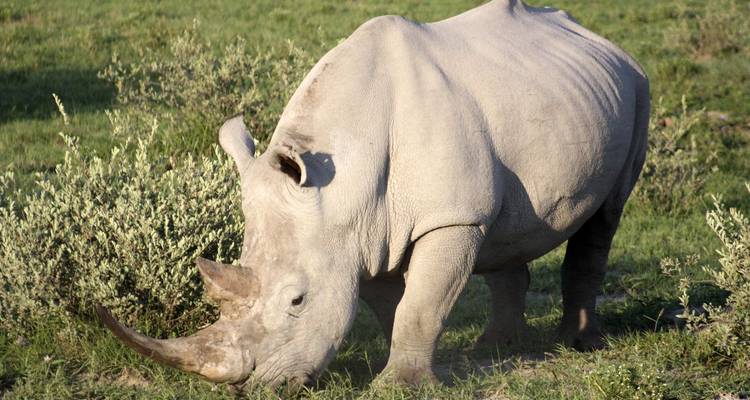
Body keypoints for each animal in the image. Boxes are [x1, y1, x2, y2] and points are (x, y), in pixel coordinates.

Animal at [97, 0, 649, 390]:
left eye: (297, 300)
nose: (246, 388)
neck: (344, 181)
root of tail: (598, 38)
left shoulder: (448, 218)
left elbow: (421, 303)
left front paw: (398, 385)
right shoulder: (365, 231)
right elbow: (396, 304)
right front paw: (403, 366)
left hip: (638, 87)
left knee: (606, 216)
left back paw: (578, 344)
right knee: (503, 224)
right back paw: (494, 349)